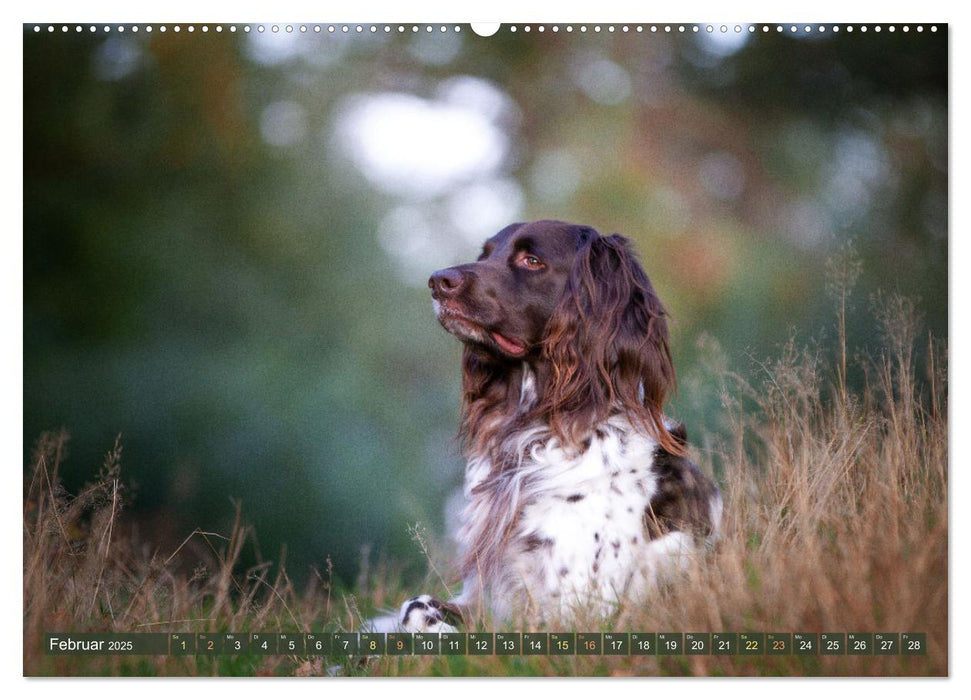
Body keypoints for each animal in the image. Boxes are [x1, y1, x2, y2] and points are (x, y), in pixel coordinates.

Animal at [372, 220, 720, 636]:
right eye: (485, 254)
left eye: (532, 260)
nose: (438, 280)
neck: (540, 430)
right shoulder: (487, 595)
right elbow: (414, 606)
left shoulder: (576, 612)